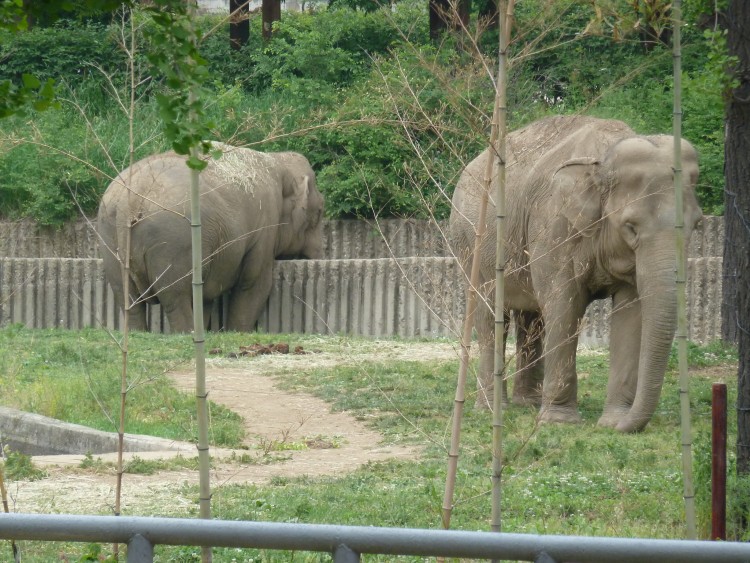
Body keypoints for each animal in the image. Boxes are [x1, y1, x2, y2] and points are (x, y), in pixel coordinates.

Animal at [97, 143, 326, 332]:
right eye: (320, 212)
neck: (278, 162)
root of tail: (130, 201)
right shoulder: (265, 227)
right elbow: (253, 284)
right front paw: (237, 332)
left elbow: (205, 297)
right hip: (171, 244)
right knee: (175, 297)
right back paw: (188, 333)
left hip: (108, 236)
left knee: (125, 296)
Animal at [452, 113, 704, 432]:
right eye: (630, 227)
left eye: (697, 224)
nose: (621, 427)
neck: (604, 158)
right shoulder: (553, 226)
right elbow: (564, 305)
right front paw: (559, 421)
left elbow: (631, 312)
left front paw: (612, 421)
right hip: (470, 245)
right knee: (490, 318)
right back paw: (492, 408)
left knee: (531, 319)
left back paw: (527, 403)